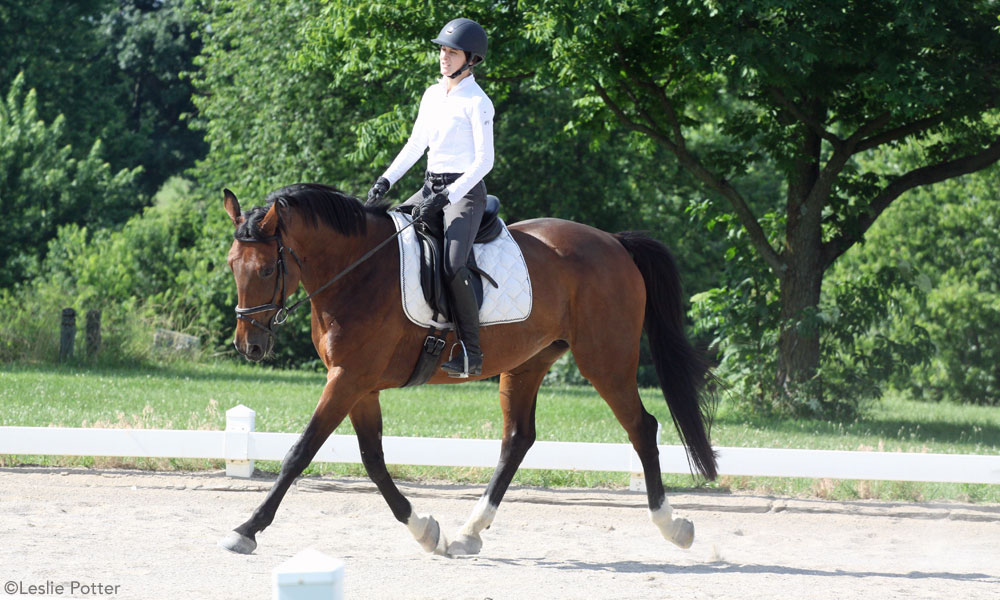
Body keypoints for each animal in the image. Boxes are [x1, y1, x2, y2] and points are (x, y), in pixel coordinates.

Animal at [220, 184, 720, 556]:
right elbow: (374, 460)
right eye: (232, 265)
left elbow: (300, 453)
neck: (357, 271)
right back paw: (469, 532)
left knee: (642, 427)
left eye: (265, 271)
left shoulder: (347, 379)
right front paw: (425, 530)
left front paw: (246, 529)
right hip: (527, 364)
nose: (250, 346)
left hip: (606, 360)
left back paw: (673, 526)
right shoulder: (360, 386)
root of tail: (614, 242)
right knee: (517, 439)